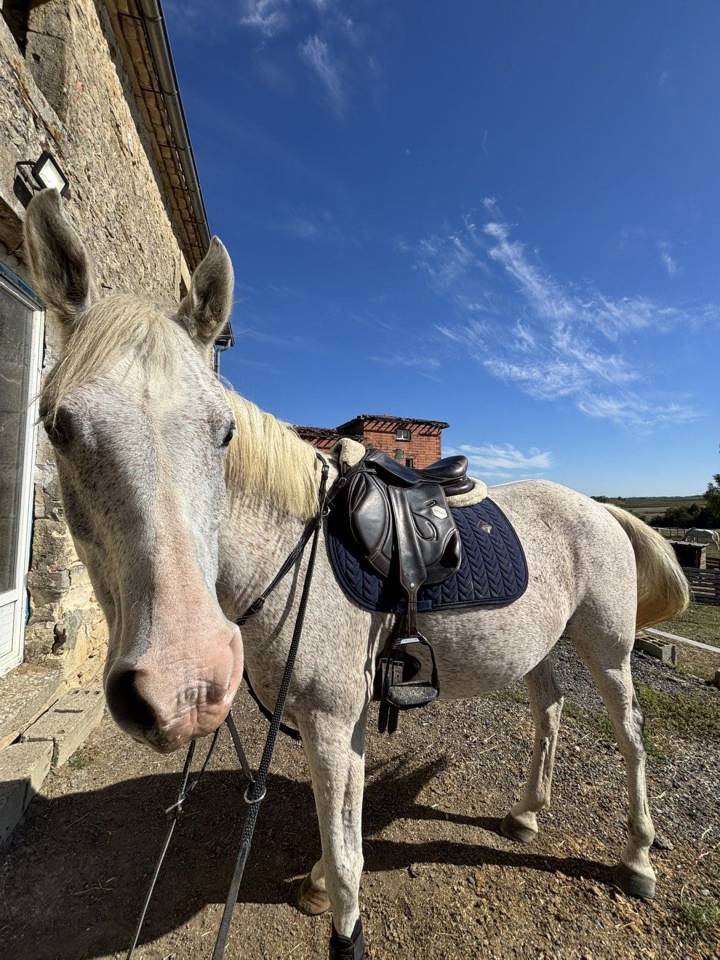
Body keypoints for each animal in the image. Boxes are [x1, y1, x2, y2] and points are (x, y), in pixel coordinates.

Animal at [24, 189, 689, 959]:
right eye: (58, 426)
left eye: (224, 432)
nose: (182, 684)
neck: (291, 550)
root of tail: (600, 508)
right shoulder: (341, 717)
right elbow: (343, 826)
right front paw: (317, 882)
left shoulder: (332, 715)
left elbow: (347, 855)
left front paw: (343, 924)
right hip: (538, 644)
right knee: (549, 710)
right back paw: (526, 813)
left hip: (606, 647)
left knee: (630, 735)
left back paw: (638, 856)